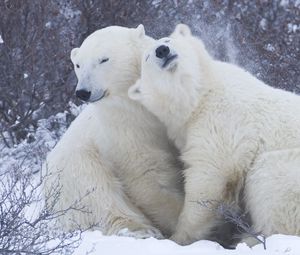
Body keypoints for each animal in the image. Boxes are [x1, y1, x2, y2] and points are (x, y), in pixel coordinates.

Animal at [42, 24, 183, 238]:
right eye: (78, 65)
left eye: (103, 59)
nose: (83, 92)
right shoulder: (125, 128)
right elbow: (148, 174)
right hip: (74, 169)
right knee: (97, 193)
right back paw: (140, 229)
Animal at [130, 24, 300, 246]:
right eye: (147, 57)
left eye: (168, 40)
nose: (162, 51)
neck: (200, 94)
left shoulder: (222, 120)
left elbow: (209, 176)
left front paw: (178, 237)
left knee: (269, 177)